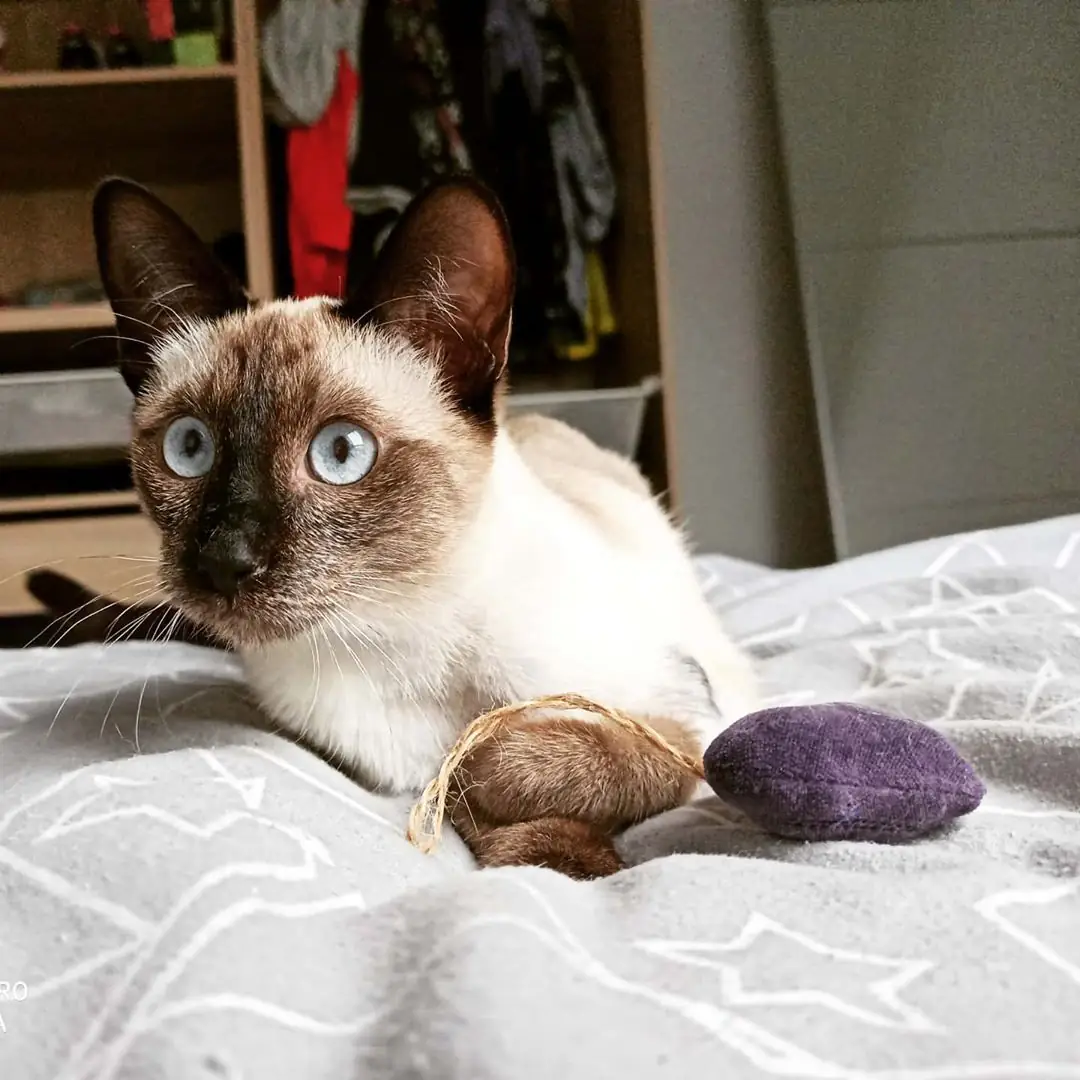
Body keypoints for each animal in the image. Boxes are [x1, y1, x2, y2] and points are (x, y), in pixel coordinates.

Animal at [63, 175, 758, 877]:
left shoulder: (699, 714)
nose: (225, 559)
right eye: (189, 448)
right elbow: (479, 801)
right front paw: (552, 851)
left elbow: (578, 759)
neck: (396, 632)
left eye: (341, 453)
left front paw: (557, 841)